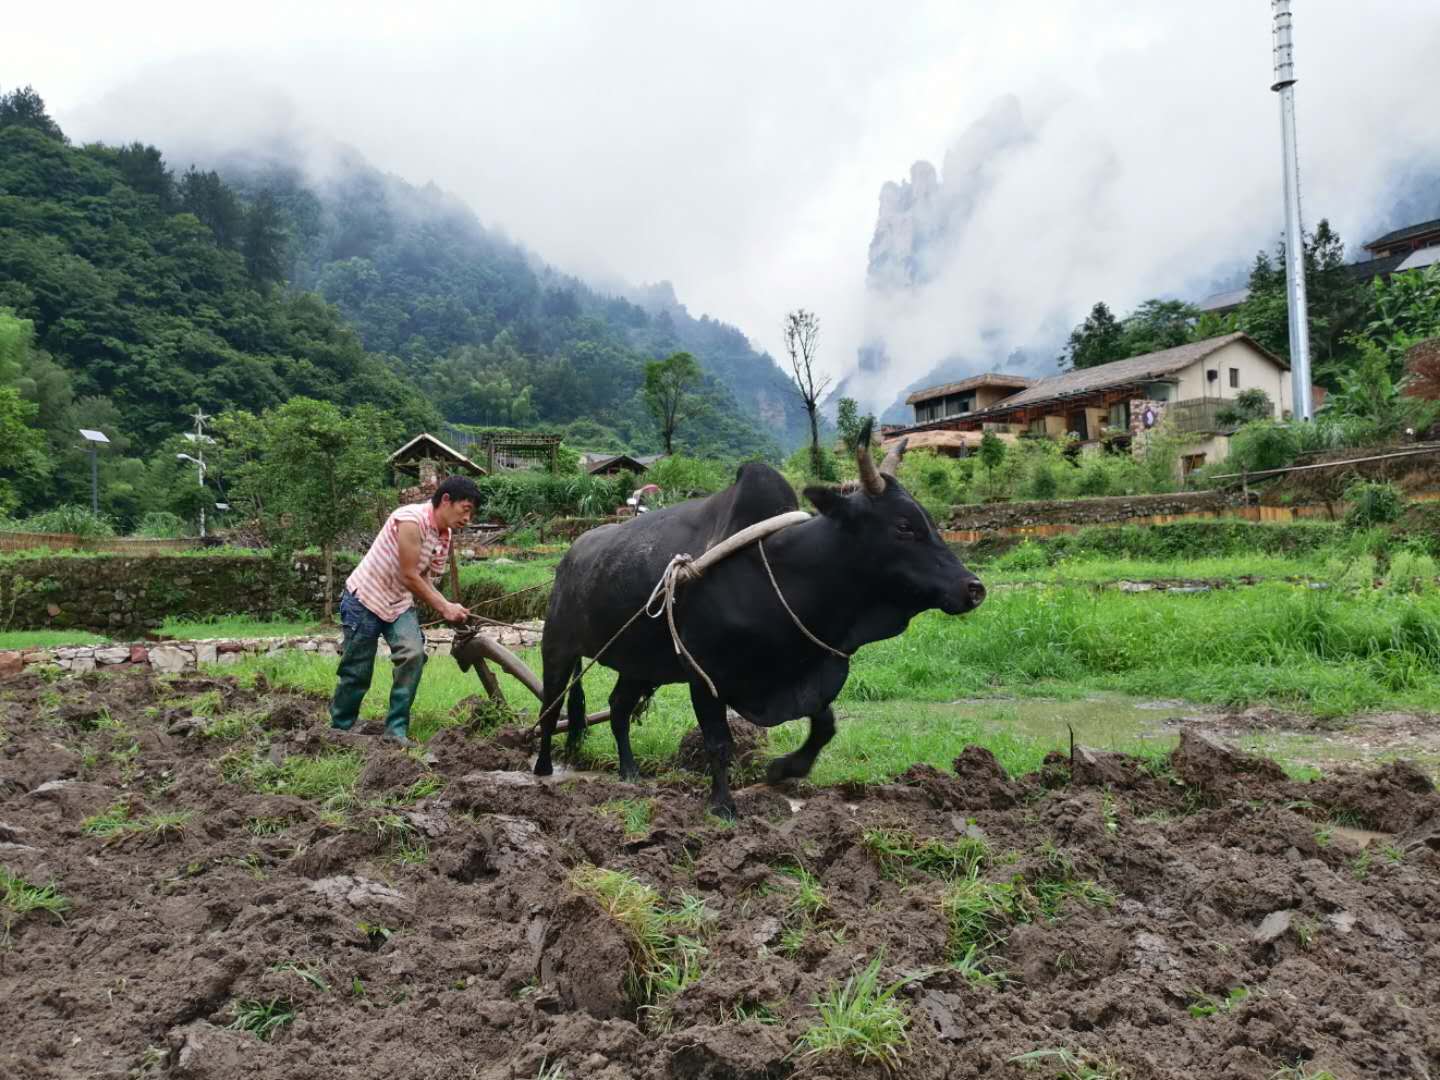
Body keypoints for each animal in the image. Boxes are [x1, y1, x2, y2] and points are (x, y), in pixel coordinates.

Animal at [535, 426, 984, 817]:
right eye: (904, 526)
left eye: (929, 521)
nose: (973, 588)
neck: (785, 577)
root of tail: (571, 554)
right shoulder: (705, 675)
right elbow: (719, 742)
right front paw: (723, 806)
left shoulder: (800, 672)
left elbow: (825, 726)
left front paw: (783, 769)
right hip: (557, 647)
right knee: (551, 707)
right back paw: (542, 769)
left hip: (640, 665)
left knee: (617, 708)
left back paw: (629, 772)